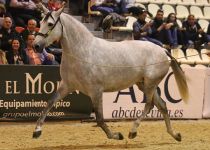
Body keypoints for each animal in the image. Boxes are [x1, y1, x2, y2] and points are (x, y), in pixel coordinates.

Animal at [32, 3, 189, 141]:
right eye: (40, 22)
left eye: (50, 24)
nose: (36, 46)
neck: (82, 52)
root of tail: (163, 50)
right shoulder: (66, 86)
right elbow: (50, 102)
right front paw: (37, 131)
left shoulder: (95, 91)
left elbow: (100, 119)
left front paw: (115, 135)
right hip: (143, 84)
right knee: (162, 105)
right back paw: (175, 135)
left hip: (150, 84)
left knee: (149, 105)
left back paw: (133, 131)